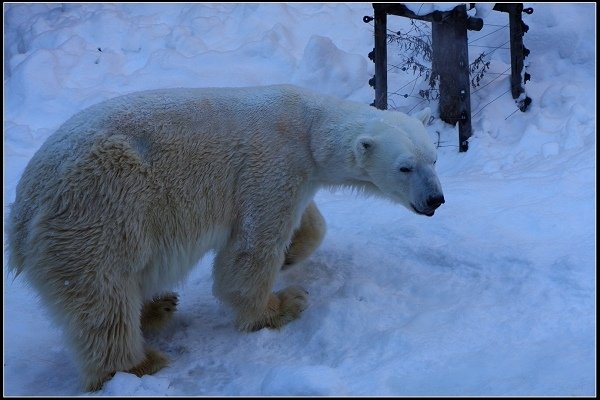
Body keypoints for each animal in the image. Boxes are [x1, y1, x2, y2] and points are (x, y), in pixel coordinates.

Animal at [7, 84, 442, 390]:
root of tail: (22, 214)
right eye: (405, 167)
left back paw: (157, 307)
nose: (435, 200)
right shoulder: (270, 167)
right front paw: (281, 304)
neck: (307, 127)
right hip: (98, 213)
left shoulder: (297, 175)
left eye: (434, 158)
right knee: (102, 297)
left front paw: (292, 255)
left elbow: (307, 220)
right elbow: (252, 246)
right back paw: (138, 363)